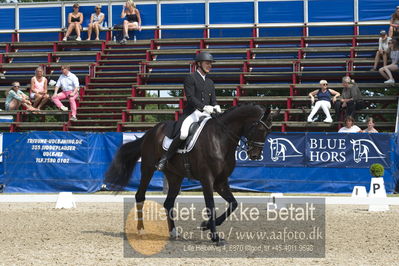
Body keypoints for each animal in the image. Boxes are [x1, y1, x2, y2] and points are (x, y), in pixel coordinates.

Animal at [104, 103, 276, 246]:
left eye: (268, 131)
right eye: (260, 129)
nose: (255, 155)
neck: (221, 139)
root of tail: (150, 132)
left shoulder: (221, 181)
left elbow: (233, 204)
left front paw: (205, 226)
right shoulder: (207, 179)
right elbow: (210, 206)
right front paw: (215, 236)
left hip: (175, 176)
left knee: (168, 203)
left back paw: (173, 233)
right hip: (147, 168)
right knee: (140, 196)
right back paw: (141, 230)